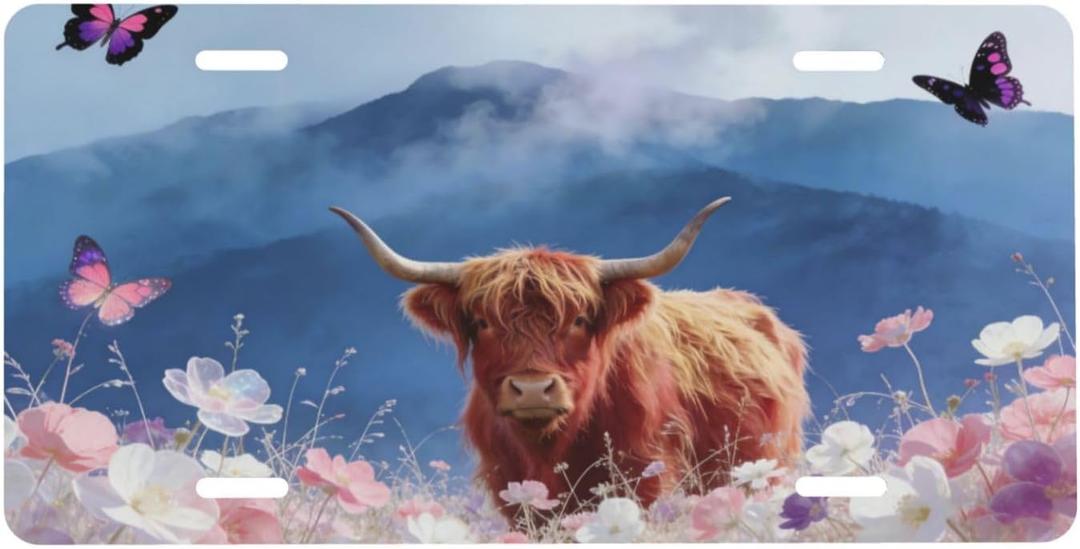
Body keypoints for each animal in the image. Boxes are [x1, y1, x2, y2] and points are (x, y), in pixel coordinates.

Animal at [330, 198, 809, 514]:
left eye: (579, 319)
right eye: (482, 323)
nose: (532, 389)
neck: (549, 448)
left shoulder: (643, 479)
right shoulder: (510, 490)